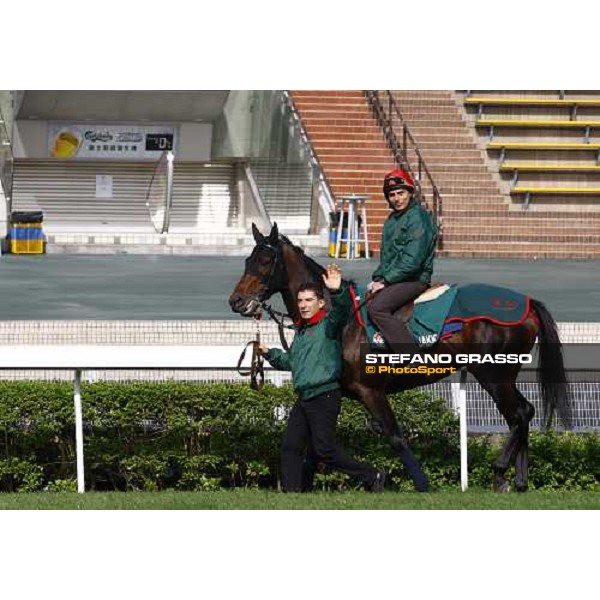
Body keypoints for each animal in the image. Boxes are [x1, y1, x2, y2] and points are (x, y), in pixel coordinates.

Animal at [229, 223, 572, 490]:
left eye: (265, 261)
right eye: (247, 260)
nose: (237, 301)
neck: (339, 319)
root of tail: (526, 303)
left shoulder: (371, 391)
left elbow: (395, 437)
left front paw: (418, 482)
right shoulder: (335, 392)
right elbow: (316, 446)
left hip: (493, 375)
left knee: (519, 415)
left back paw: (501, 473)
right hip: (501, 376)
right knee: (524, 413)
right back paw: (520, 480)